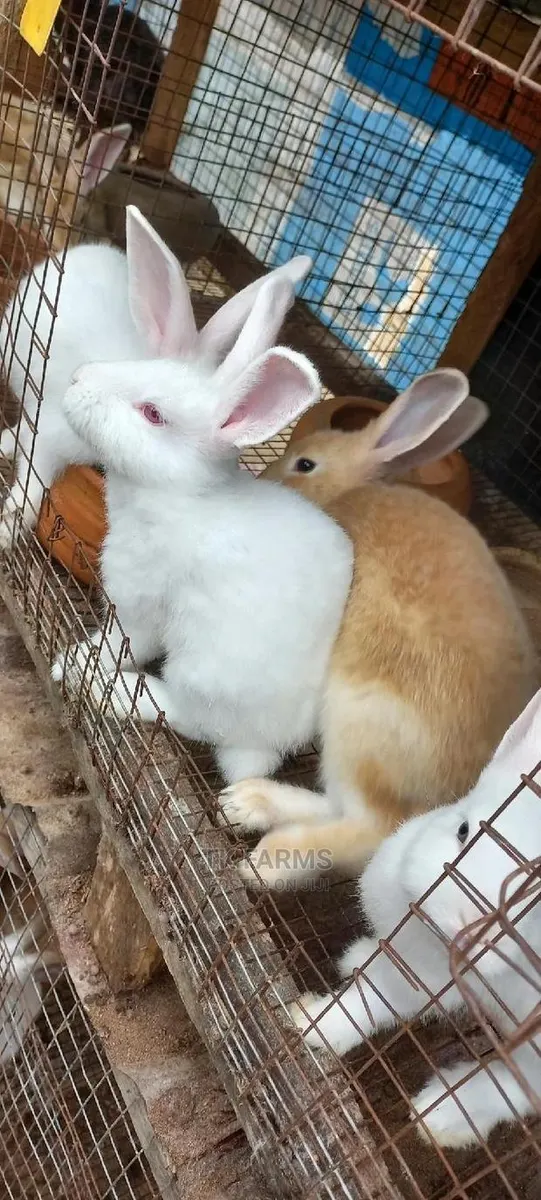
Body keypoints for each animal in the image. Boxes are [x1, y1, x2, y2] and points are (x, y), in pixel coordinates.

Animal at [0, 201, 311, 546]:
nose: (78, 378)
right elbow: (32, 478)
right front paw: (7, 530)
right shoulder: (48, 436)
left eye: (153, 413)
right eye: (141, 366)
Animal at [50, 205, 354, 788]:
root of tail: (266, 749)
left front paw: (74, 663)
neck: (181, 495)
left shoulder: (141, 596)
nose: (76, 381)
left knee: (181, 713)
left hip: (203, 673)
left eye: (152, 413)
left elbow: (122, 641)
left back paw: (112, 692)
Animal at [218, 382, 537, 886]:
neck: (353, 490)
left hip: (357, 724)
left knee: (371, 830)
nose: (267, 481)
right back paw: (246, 804)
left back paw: (266, 861)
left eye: (305, 464)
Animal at [289, 688, 541, 1149]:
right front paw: (310, 1025)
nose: (463, 926)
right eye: (463, 830)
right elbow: (367, 999)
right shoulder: (408, 967)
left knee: (517, 1085)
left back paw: (441, 1115)